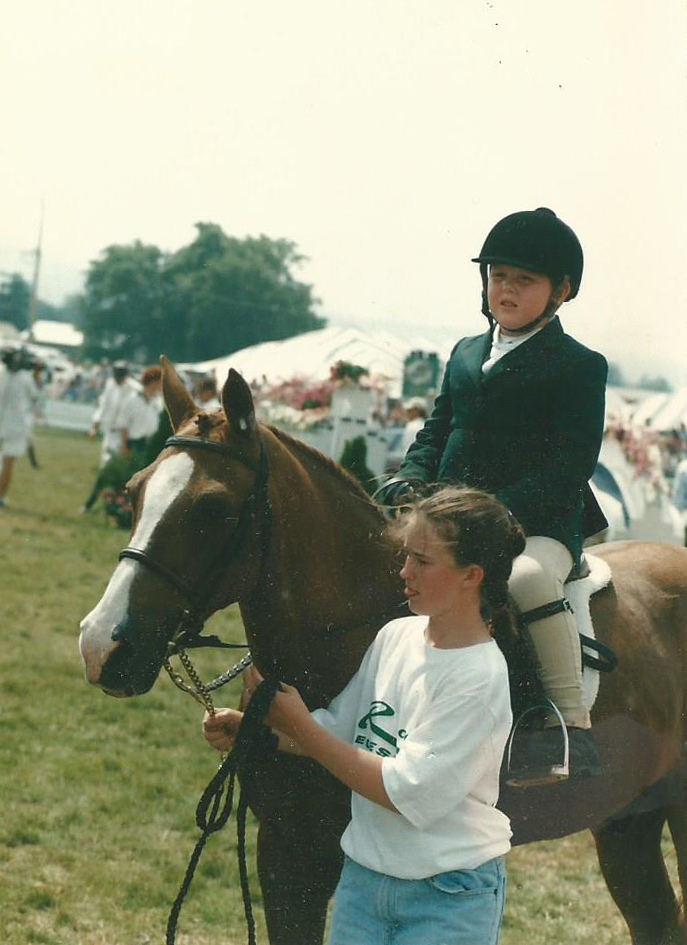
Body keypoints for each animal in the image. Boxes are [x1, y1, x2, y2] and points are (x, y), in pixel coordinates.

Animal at [79, 359, 687, 945]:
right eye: (134, 491)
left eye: (213, 508)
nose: (101, 643)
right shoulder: (283, 845)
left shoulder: (320, 851)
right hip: (627, 817)